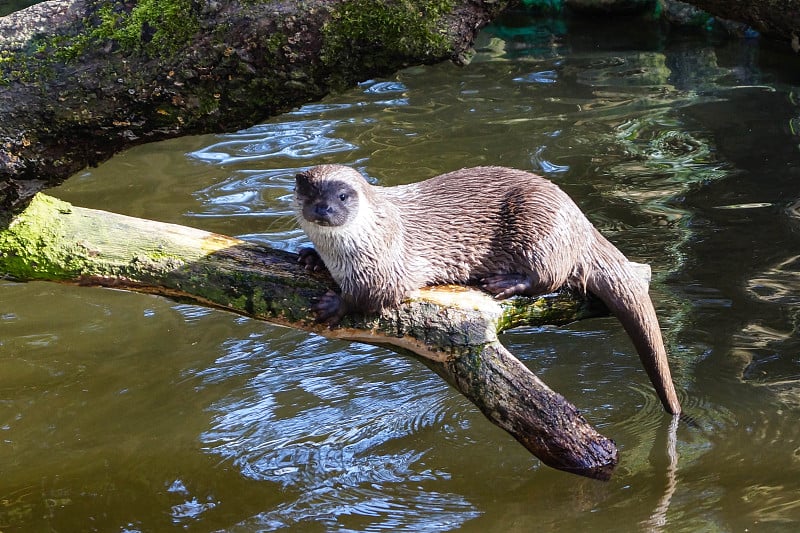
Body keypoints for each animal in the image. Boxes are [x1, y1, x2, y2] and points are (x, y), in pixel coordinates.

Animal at [294, 164, 680, 414]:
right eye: (309, 192)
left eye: (343, 195)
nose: (323, 208)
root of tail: (580, 221)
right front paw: (311, 257)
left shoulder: (387, 262)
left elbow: (374, 294)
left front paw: (334, 304)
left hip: (540, 226)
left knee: (551, 276)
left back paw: (504, 282)